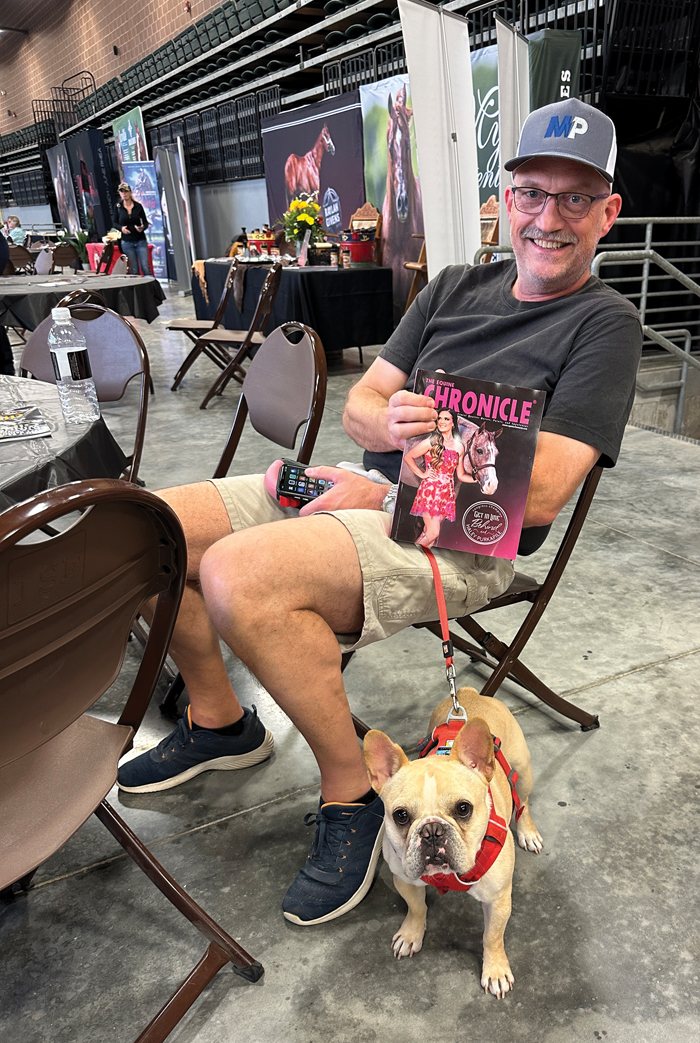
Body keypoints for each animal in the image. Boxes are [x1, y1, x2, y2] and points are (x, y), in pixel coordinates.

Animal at [363, 687, 543, 998]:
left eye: (463, 809)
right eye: (401, 816)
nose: (432, 830)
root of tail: (468, 693)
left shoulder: (498, 901)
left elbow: (492, 937)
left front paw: (495, 969)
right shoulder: (405, 880)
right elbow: (416, 908)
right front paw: (411, 933)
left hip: (523, 772)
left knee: (523, 803)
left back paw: (527, 831)